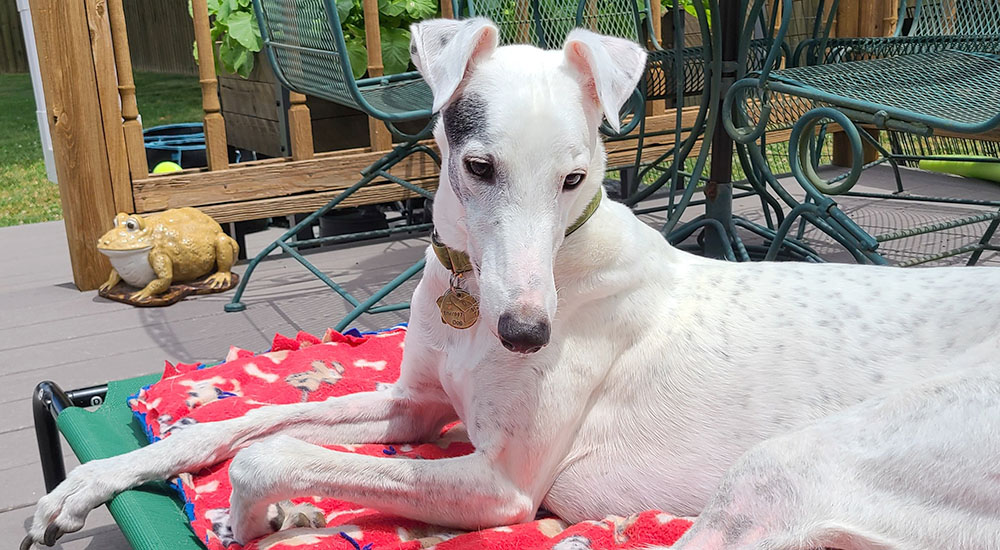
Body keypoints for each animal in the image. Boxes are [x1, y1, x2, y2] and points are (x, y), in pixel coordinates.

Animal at [23, 17, 1000, 550]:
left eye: (575, 177)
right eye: (478, 165)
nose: (527, 335)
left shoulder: (504, 487)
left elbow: (273, 449)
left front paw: (263, 513)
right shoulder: (416, 407)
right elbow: (245, 423)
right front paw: (93, 481)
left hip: (782, 472)